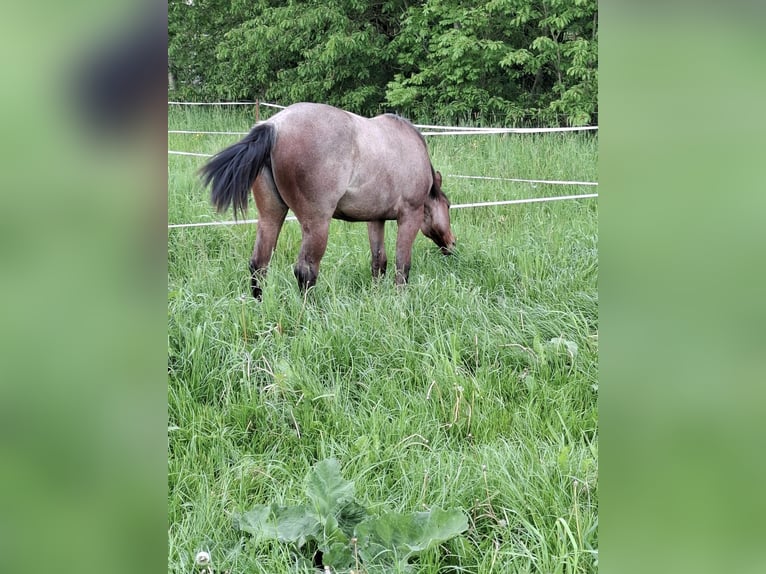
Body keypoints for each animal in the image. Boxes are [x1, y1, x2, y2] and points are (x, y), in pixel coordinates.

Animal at [201, 103, 460, 302]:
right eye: (448, 206)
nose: (452, 243)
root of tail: (274, 127)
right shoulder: (410, 216)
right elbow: (402, 265)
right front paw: (400, 301)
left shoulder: (375, 219)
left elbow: (379, 262)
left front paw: (377, 297)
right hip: (317, 224)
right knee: (305, 271)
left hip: (270, 217)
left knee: (259, 264)